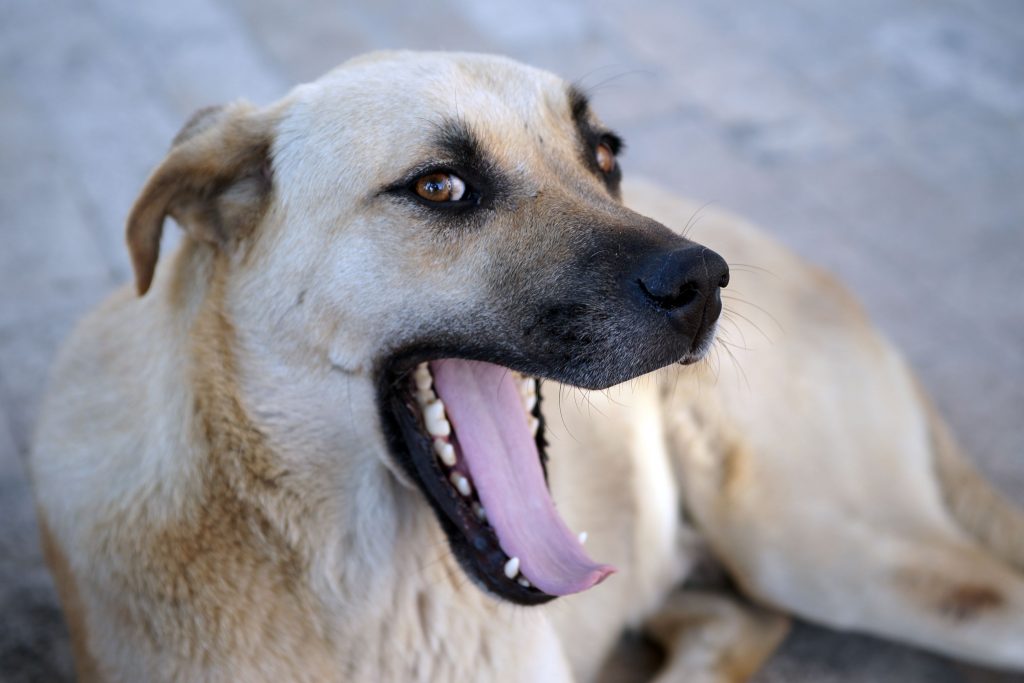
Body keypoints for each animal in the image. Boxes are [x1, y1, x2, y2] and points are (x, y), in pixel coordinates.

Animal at [29, 50, 1024, 679]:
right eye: (439, 185)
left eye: (605, 152)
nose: (705, 284)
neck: (359, 587)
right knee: (737, 617)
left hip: (818, 543)